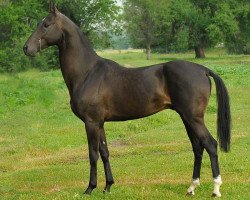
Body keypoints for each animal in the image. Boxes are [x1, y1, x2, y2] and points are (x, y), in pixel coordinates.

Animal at [23, 3, 230, 198]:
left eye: (46, 24)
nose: (26, 48)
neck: (88, 72)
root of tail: (203, 70)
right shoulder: (100, 123)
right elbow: (105, 152)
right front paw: (107, 187)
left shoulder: (91, 122)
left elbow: (92, 154)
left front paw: (90, 188)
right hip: (187, 118)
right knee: (197, 147)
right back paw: (191, 187)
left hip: (193, 118)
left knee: (210, 144)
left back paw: (216, 189)